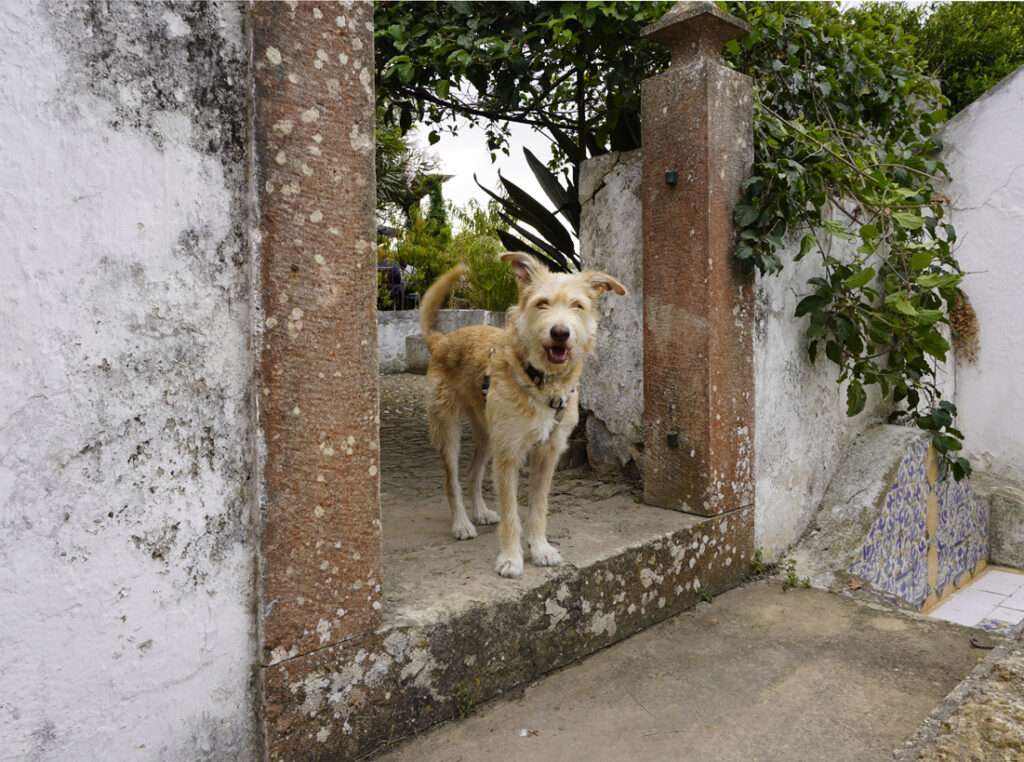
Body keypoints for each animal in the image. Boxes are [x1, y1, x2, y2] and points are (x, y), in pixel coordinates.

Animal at [419, 251, 626, 577]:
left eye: (577, 306)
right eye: (541, 303)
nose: (560, 332)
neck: (541, 382)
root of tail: (441, 341)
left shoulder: (547, 453)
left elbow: (538, 509)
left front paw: (540, 549)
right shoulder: (509, 454)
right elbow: (512, 514)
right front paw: (511, 558)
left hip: (487, 435)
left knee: (473, 471)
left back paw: (480, 511)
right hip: (448, 431)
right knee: (452, 480)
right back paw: (462, 523)